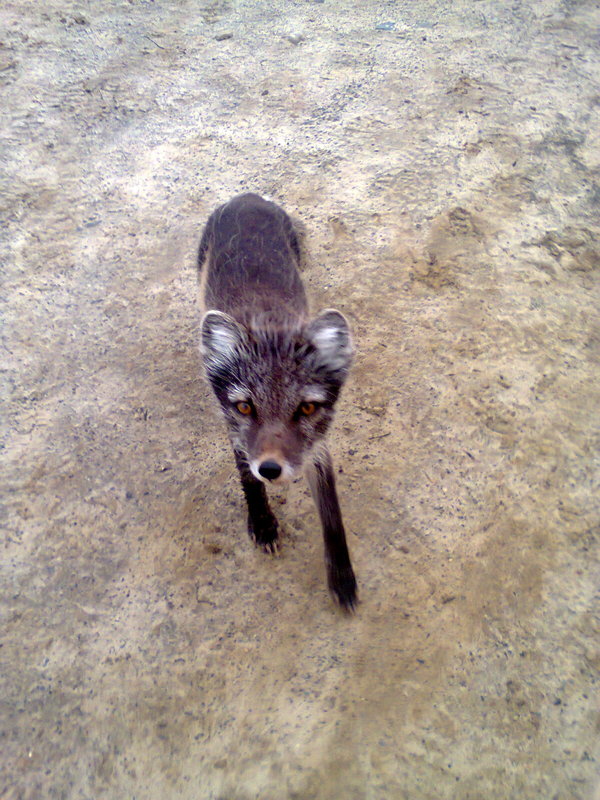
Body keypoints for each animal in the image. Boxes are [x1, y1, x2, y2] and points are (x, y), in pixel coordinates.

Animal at [197, 191, 356, 608]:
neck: (270, 329)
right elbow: (247, 480)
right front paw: (264, 525)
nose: (270, 469)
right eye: (244, 406)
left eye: (307, 407)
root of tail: (248, 196)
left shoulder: (317, 448)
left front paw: (343, 578)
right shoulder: (237, 434)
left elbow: (332, 513)